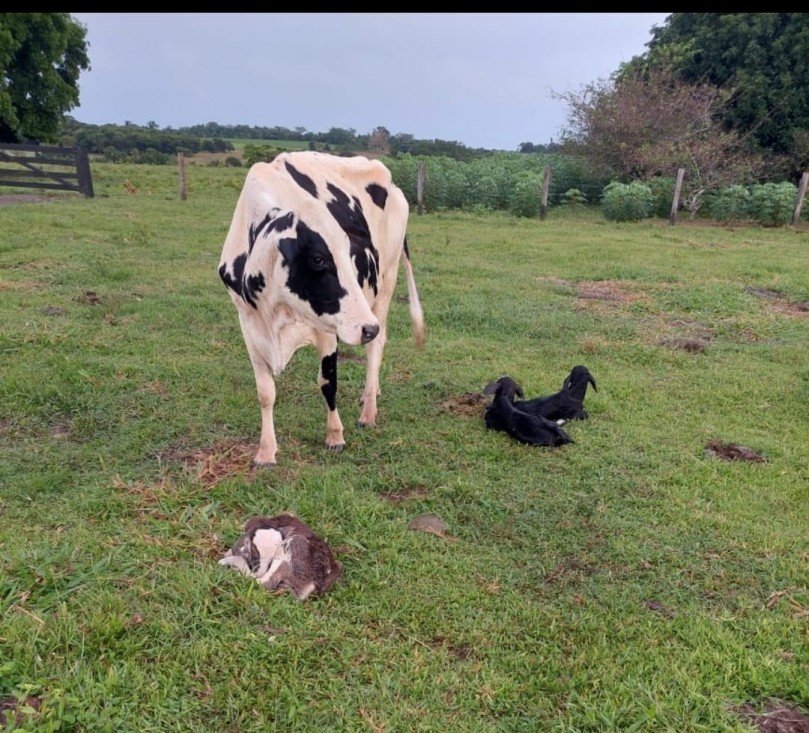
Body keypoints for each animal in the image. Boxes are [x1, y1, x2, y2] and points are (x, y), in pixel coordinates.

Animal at [218, 151, 425, 466]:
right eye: (317, 259)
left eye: (349, 254)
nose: (368, 328)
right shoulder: (249, 323)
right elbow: (265, 392)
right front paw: (266, 450)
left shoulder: (328, 327)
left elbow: (328, 382)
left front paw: (335, 435)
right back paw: (371, 392)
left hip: (386, 281)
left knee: (376, 347)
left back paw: (368, 411)